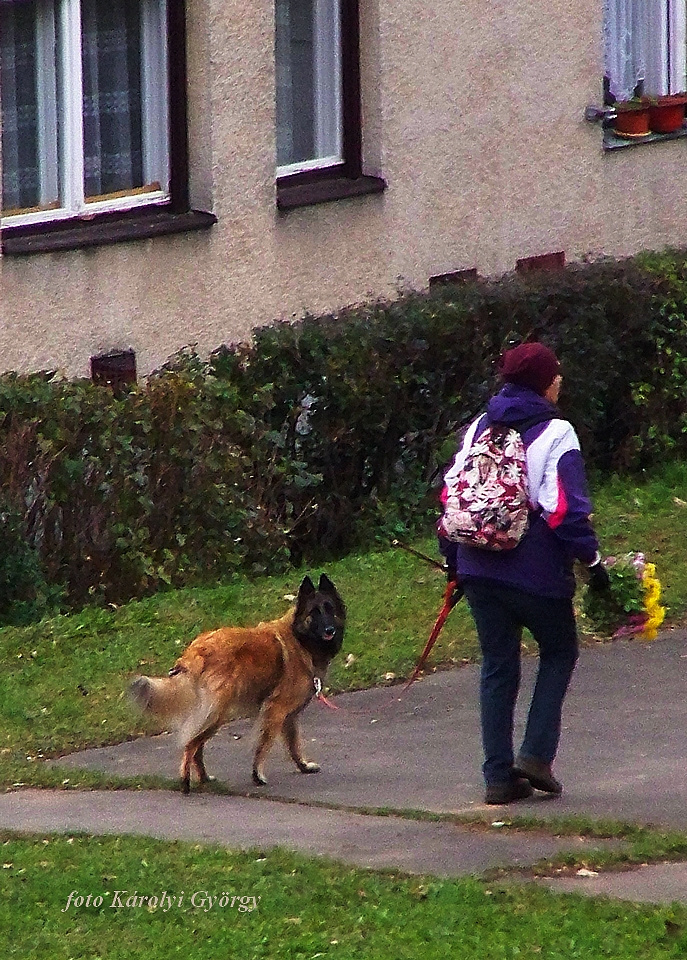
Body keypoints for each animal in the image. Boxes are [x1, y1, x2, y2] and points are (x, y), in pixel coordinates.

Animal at [129, 572, 346, 792]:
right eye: (314, 612)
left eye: (330, 609)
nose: (329, 629)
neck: (301, 638)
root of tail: (196, 651)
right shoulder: (276, 710)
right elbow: (264, 745)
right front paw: (258, 775)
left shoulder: (289, 715)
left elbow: (294, 744)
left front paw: (303, 766)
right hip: (216, 714)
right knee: (191, 744)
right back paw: (185, 781)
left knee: (197, 746)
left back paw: (204, 778)